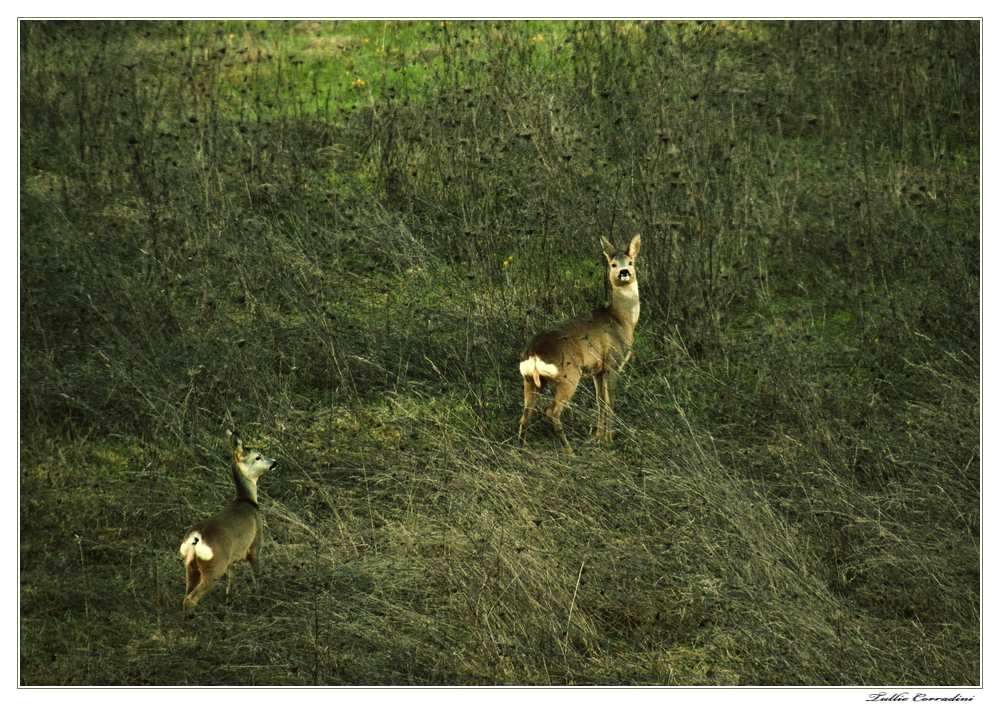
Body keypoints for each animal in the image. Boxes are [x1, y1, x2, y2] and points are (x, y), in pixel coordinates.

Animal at [177, 428, 278, 612]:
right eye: (258, 456)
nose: (274, 462)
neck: (247, 501)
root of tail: (196, 538)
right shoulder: (255, 544)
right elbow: (256, 574)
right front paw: (259, 598)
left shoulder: (232, 558)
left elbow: (232, 577)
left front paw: (228, 599)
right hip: (214, 566)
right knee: (190, 599)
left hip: (190, 565)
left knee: (186, 594)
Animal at [520, 231, 644, 452]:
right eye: (613, 264)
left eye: (630, 262)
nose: (623, 272)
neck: (621, 320)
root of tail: (533, 354)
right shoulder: (612, 364)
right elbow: (610, 402)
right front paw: (609, 439)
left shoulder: (597, 370)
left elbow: (600, 402)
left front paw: (598, 437)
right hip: (569, 376)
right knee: (551, 411)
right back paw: (569, 451)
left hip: (529, 380)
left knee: (526, 413)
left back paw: (521, 449)